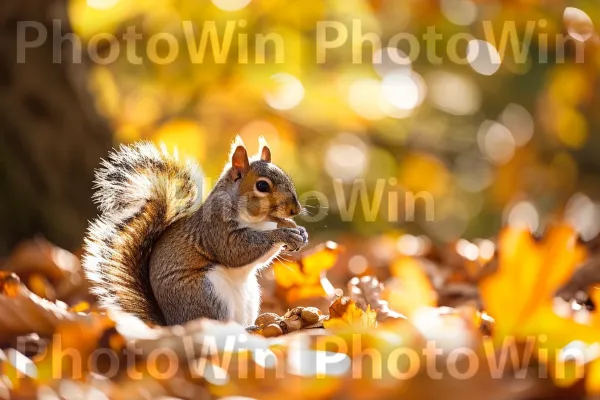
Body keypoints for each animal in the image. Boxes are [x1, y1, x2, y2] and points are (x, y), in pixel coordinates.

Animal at [82, 136, 308, 326]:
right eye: (262, 186)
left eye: (287, 177)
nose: (294, 210)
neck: (257, 222)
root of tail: (171, 324)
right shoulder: (215, 229)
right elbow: (234, 252)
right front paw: (283, 234)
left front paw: (297, 230)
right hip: (206, 294)